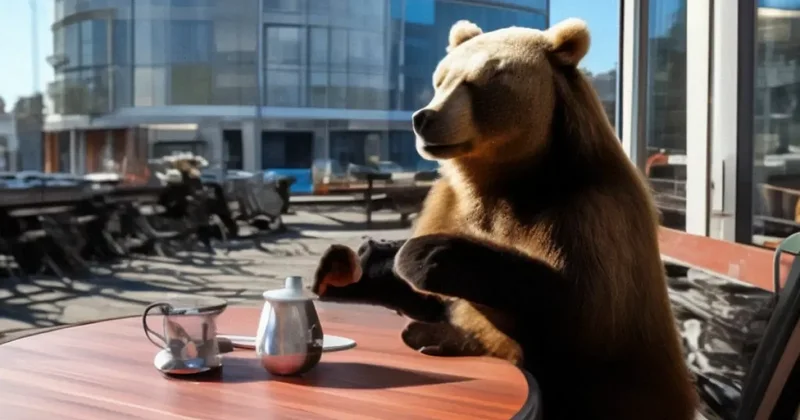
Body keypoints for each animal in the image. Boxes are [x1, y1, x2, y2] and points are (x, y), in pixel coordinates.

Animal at [312, 18, 698, 420]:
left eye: (483, 78)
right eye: (441, 78)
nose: (424, 118)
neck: (504, 178)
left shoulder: (590, 214)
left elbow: (581, 310)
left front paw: (425, 256)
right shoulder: (447, 202)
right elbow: (433, 298)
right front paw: (355, 267)